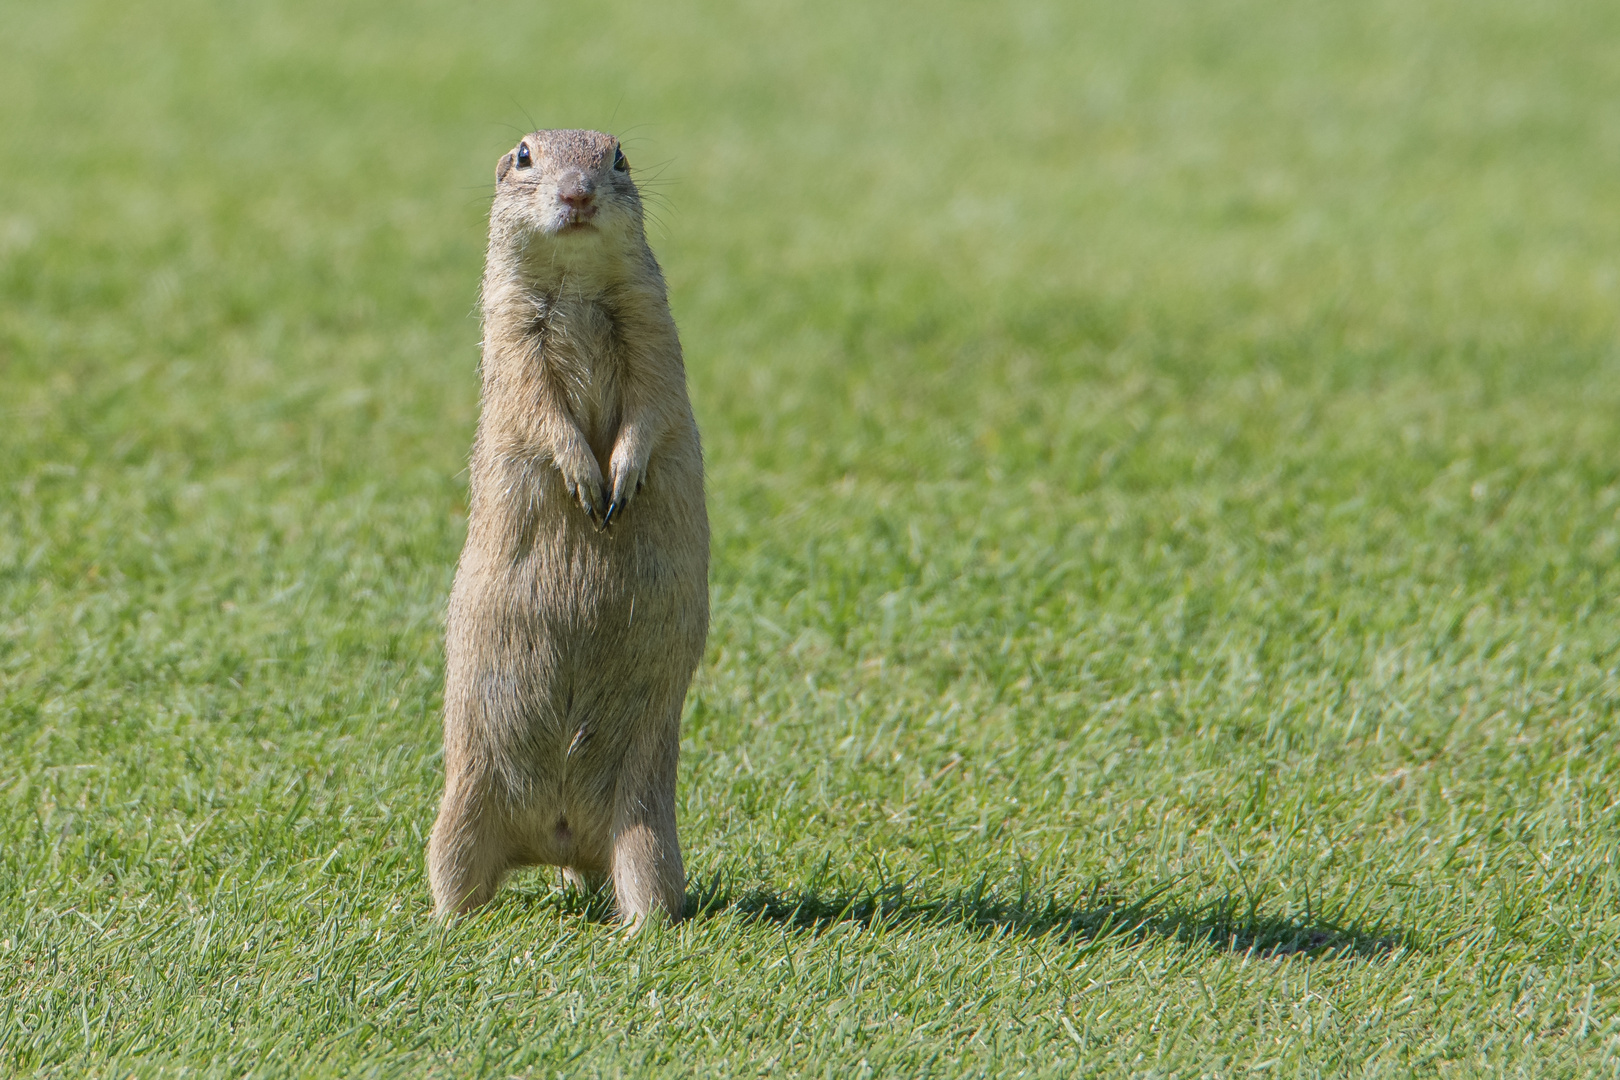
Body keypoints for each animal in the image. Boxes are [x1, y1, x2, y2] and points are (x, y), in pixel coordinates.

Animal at [430, 131, 709, 932]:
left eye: (618, 157)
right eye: (524, 155)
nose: (578, 193)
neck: (579, 287)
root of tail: (556, 836)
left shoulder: (652, 324)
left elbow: (653, 401)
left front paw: (621, 477)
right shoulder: (511, 334)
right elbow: (540, 408)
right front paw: (586, 479)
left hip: (647, 831)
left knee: (643, 891)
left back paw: (638, 930)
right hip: (459, 816)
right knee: (456, 882)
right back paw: (447, 926)